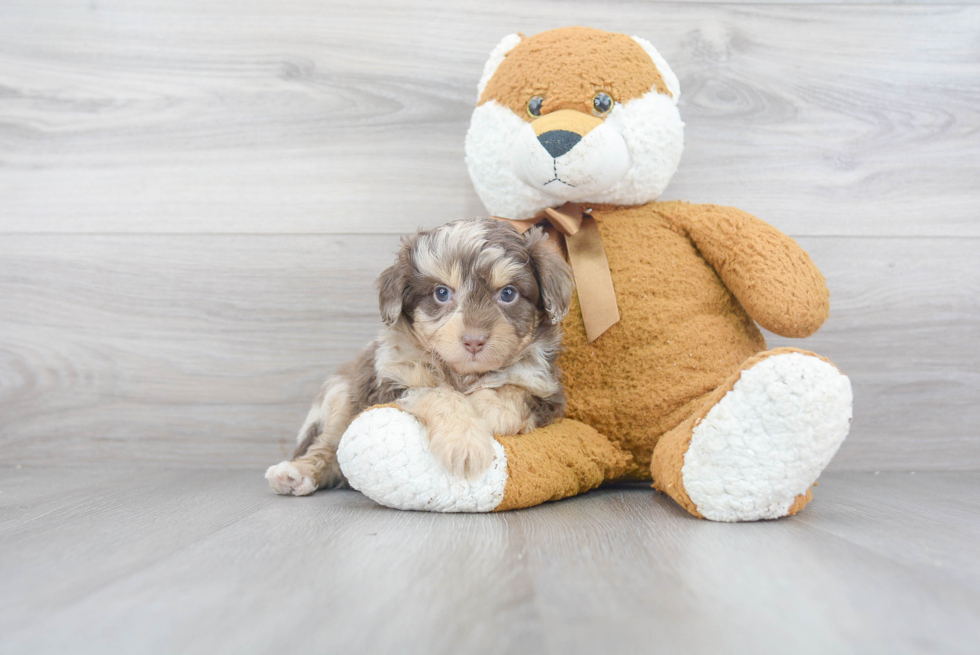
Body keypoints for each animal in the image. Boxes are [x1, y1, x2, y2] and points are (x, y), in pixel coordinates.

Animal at [264, 218, 580, 494]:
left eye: (508, 294)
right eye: (441, 293)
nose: (474, 340)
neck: (462, 374)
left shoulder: (545, 389)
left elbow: (514, 394)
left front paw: (484, 407)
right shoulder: (389, 384)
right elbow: (437, 394)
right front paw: (464, 441)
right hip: (342, 394)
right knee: (328, 446)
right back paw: (296, 473)